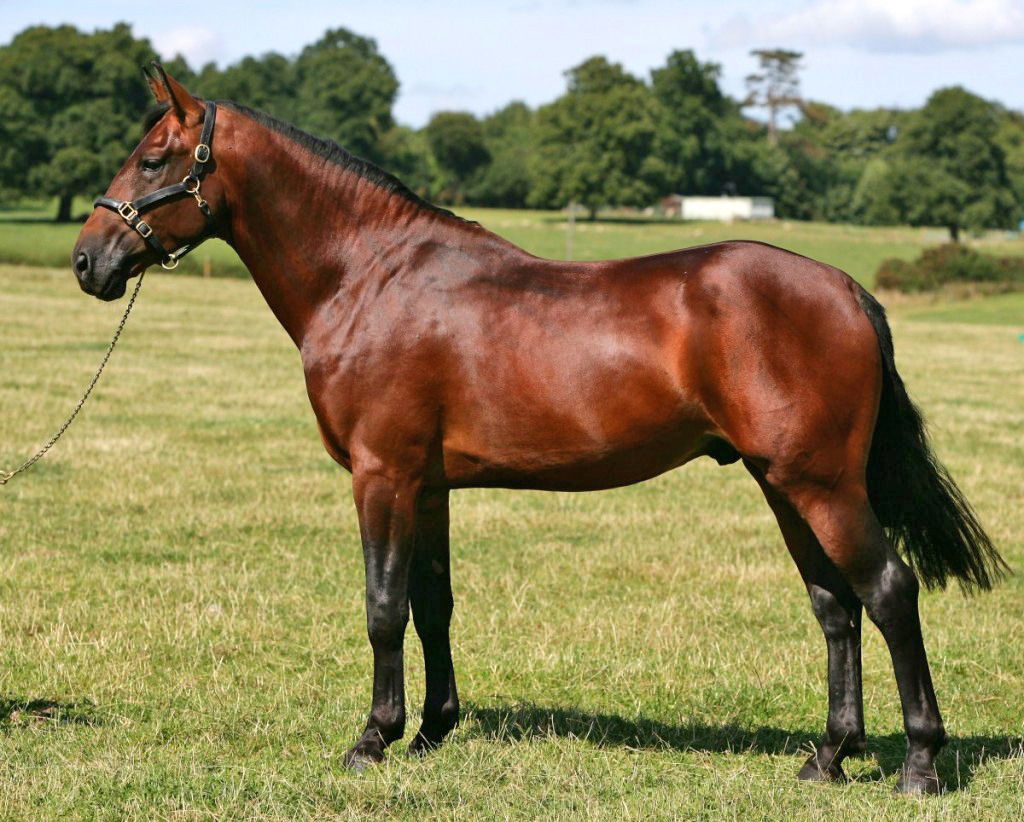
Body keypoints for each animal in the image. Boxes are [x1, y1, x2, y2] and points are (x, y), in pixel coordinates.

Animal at [72, 64, 1006, 794]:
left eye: (152, 158)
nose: (88, 260)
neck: (369, 277)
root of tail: (846, 288)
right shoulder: (429, 485)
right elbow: (433, 604)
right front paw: (433, 730)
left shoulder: (382, 474)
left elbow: (382, 607)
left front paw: (373, 739)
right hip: (783, 484)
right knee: (835, 606)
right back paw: (828, 757)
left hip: (822, 485)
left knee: (888, 591)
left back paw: (920, 765)